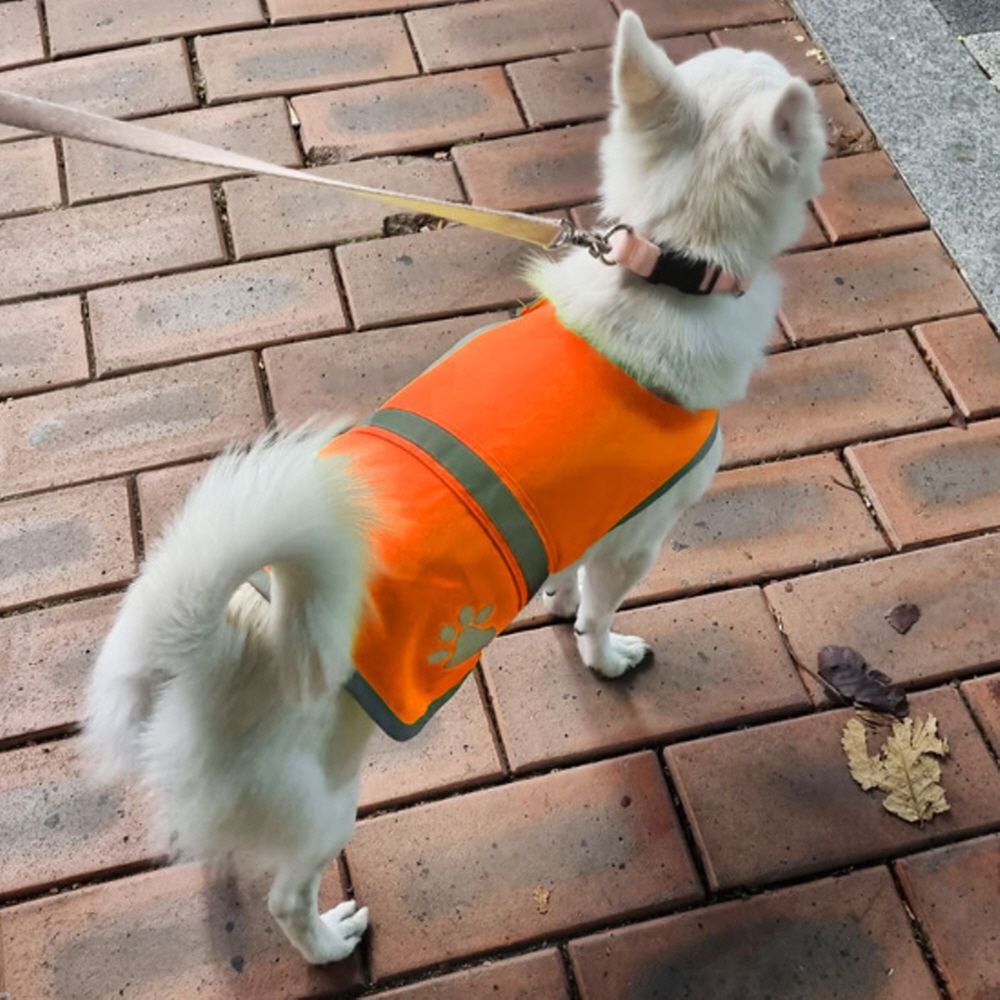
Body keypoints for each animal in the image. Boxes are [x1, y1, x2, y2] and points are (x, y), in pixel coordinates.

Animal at [84, 11, 824, 965]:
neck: (661, 266)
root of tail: (224, 640)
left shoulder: (589, 520)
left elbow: (565, 571)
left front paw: (552, 595)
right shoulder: (635, 541)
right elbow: (599, 613)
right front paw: (605, 655)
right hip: (327, 800)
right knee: (287, 894)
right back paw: (330, 941)